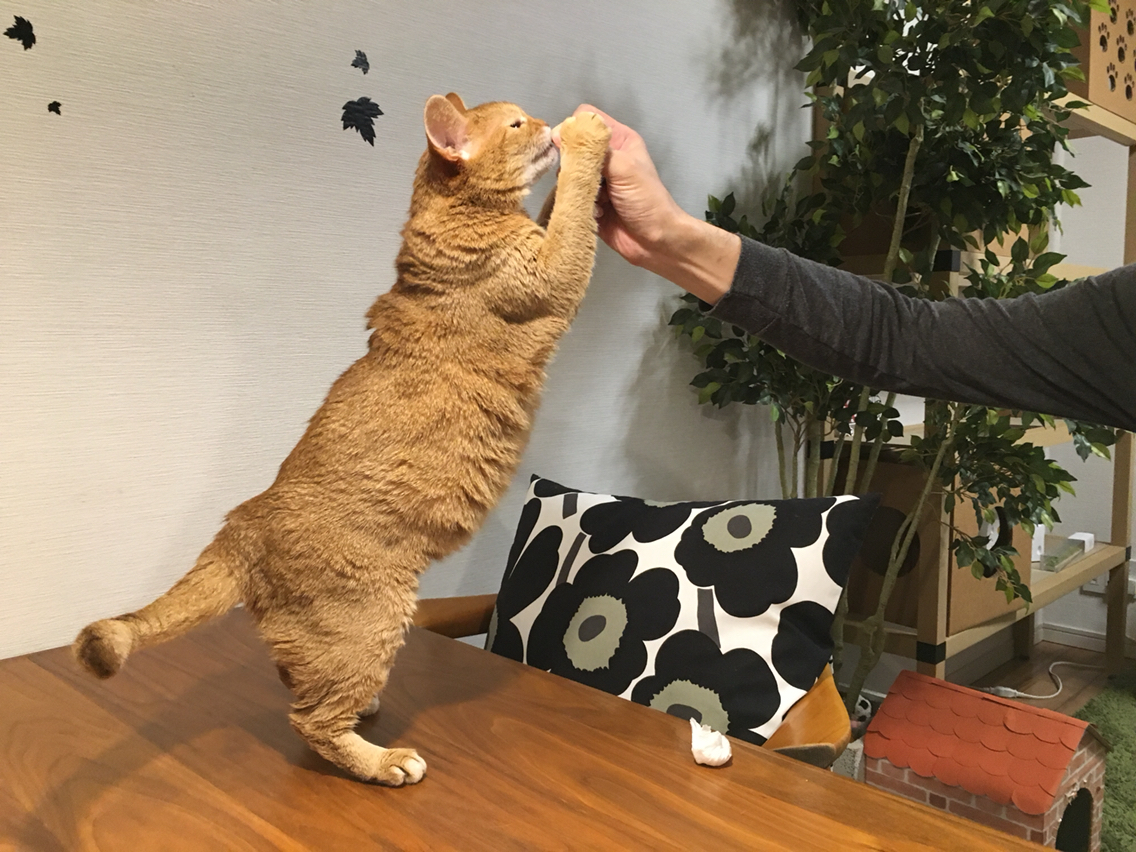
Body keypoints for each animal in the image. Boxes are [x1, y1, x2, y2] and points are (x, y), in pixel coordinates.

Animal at [73, 93, 612, 786]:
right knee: (310, 720)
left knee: (299, 682)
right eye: (517, 124)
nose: (546, 123)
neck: (455, 218)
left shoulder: (543, 250)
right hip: (374, 615)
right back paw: (384, 761)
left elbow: (559, 208)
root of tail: (240, 525)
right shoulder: (553, 271)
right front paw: (588, 134)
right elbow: (572, 204)